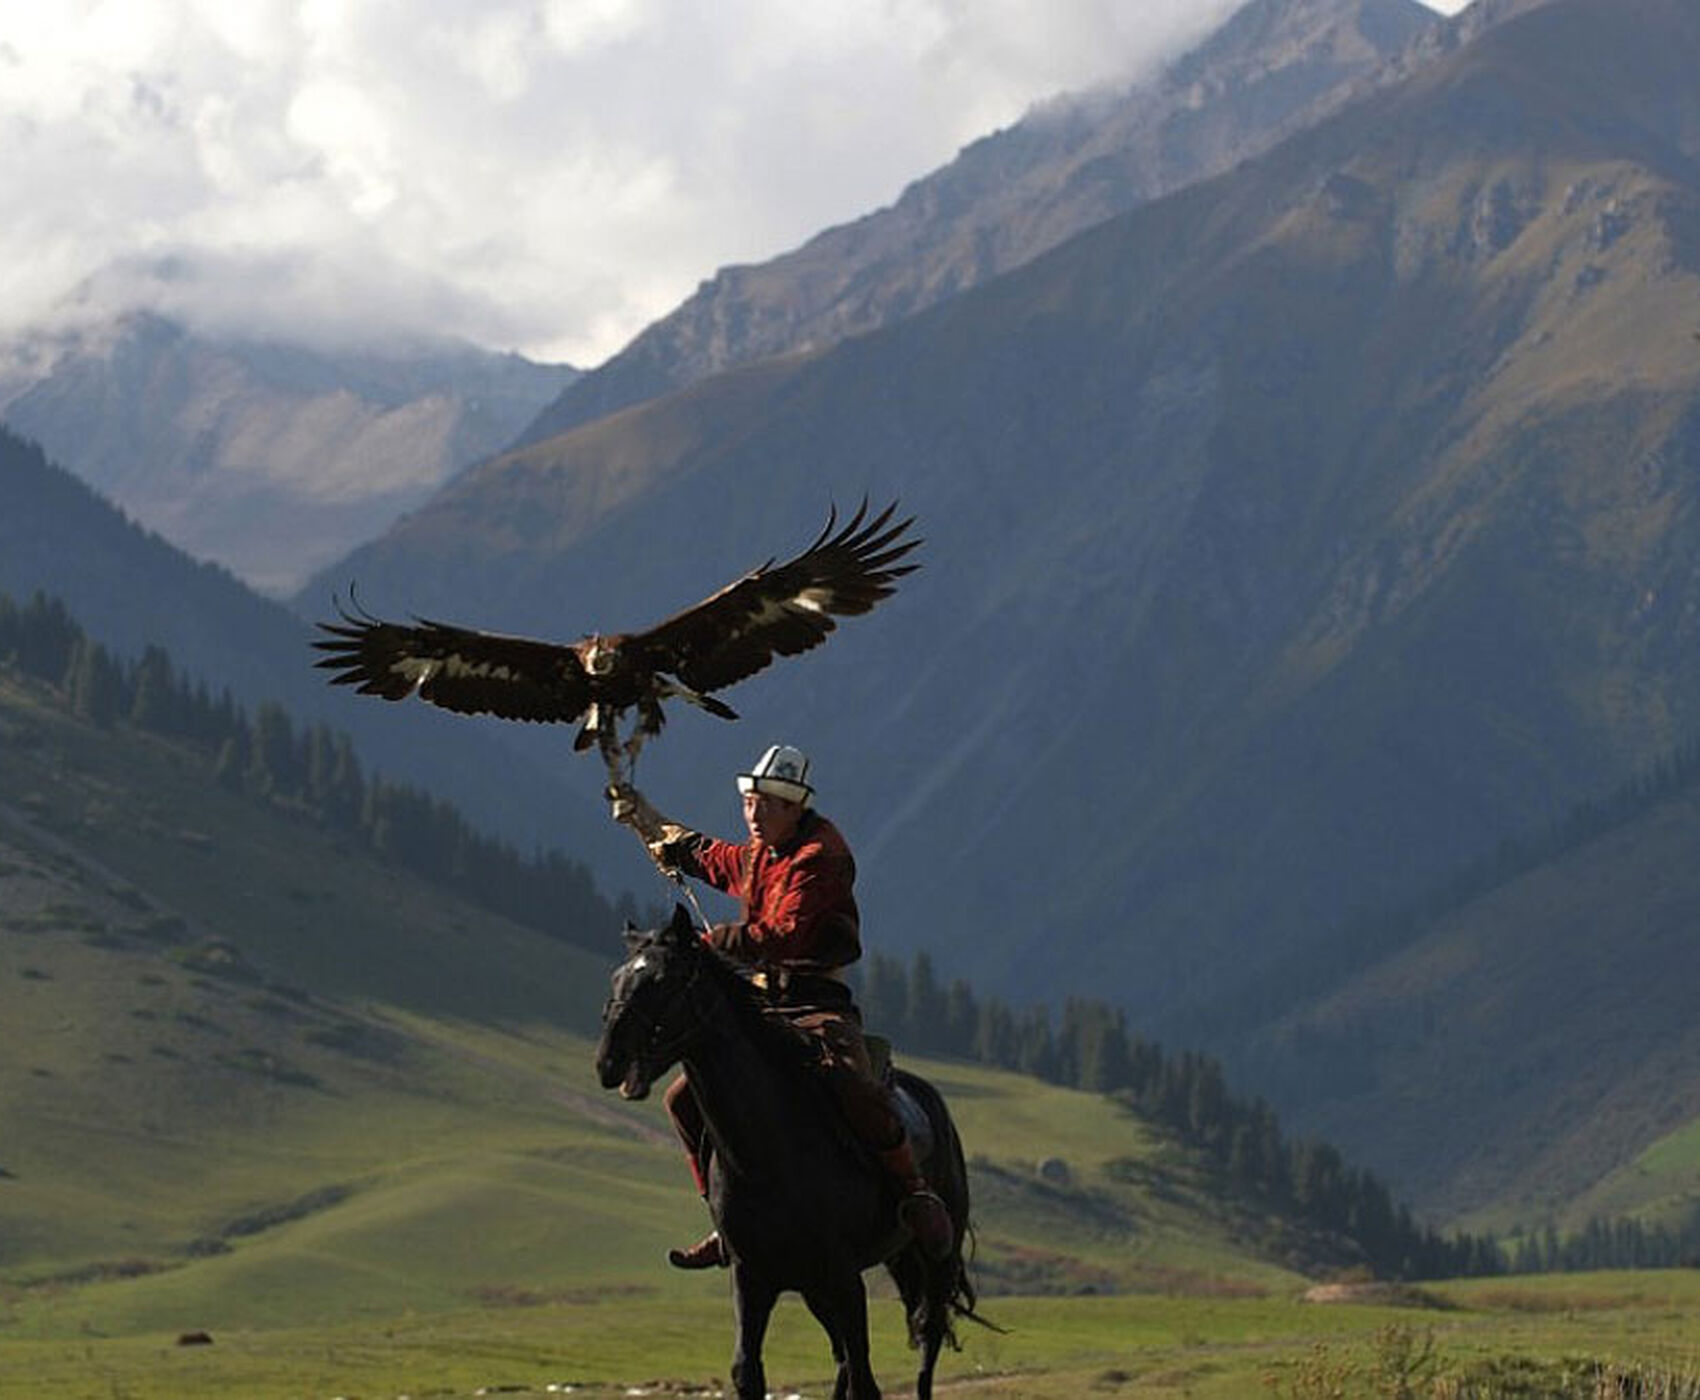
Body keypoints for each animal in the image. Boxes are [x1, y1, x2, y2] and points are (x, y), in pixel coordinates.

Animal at [595, 910, 986, 1400]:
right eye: (617, 977)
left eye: (662, 980)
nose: (608, 1062)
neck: (767, 1155)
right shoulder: (753, 1276)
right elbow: (749, 1371)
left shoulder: (843, 1276)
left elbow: (865, 1379)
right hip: (822, 1282)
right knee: (843, 1358)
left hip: (932, 1262)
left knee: (925, 1344)